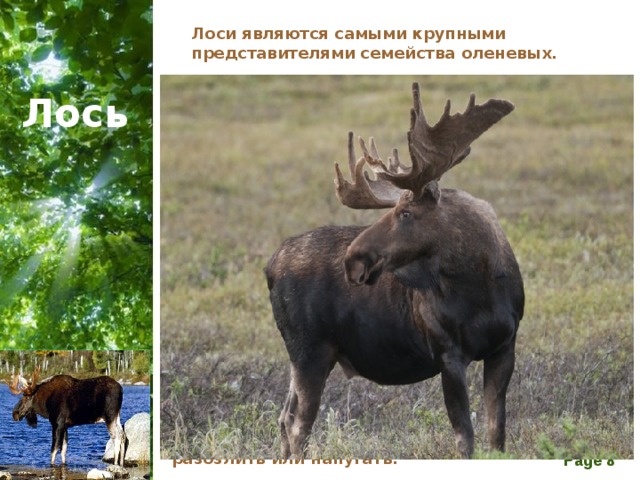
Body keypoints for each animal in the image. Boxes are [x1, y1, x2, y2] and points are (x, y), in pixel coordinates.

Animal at [264, 82, 524, 459]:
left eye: (405, 213)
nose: (353, 259)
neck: (481, 288)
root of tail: (270, 267)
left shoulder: (505, 346)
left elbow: (496, 433)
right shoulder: (448, 353)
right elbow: (465, 438)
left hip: (303, 357)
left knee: (285, 419)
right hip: (308, 351)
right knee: (298, 426)